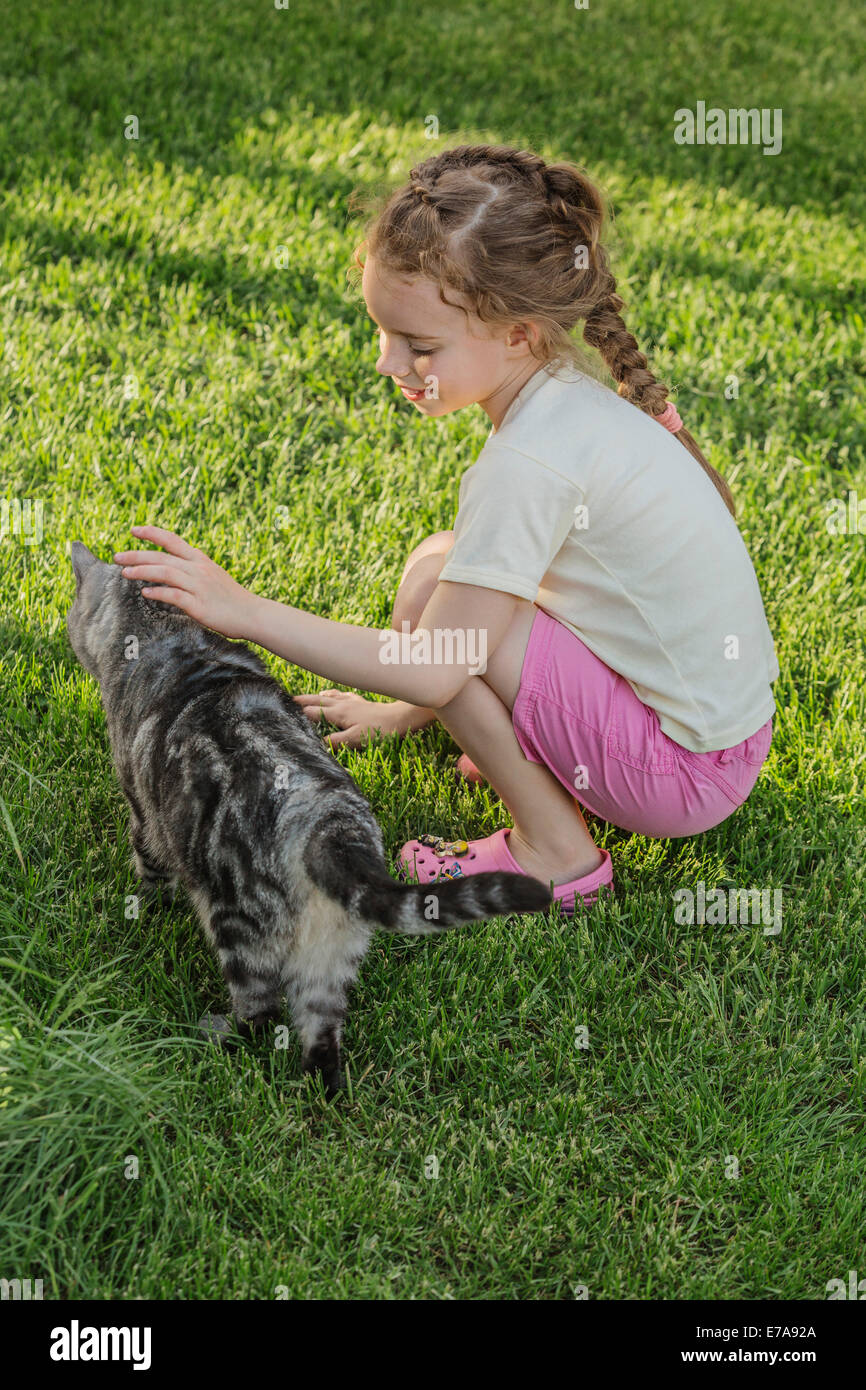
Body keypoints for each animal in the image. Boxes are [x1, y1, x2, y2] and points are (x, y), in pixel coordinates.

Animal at [67, 542, 553, 1095]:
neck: (168, 634)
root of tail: (328, 826)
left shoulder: (143, 812)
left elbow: (148, 868)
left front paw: (145, 904)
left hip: (239, 926)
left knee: (258, 1009)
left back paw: (217, 1033)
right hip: (332, 956)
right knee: (322, 1031)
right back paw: (324, 1089)